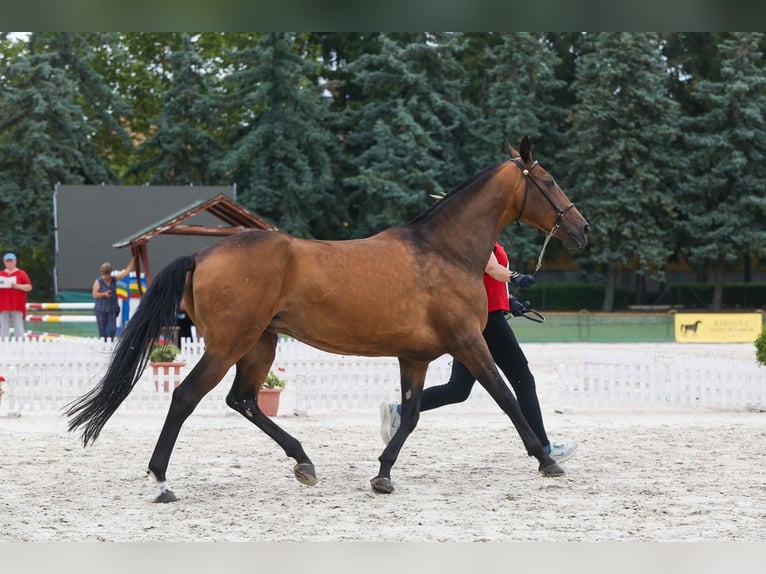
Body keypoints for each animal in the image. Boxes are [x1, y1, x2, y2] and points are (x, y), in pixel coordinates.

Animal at [67, 138, 592, 504]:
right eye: (548, 181)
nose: (582, 229)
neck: (443, 251)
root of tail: (202, 253)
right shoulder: (469, 342)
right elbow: (506, 396)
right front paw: (546, 459)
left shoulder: (415, 356)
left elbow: (412, 414)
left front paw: (382, 474)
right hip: (228, 345)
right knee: (186, 397)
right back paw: (161, 481)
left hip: (260, 345)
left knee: (244, 400)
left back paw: (304, 462)